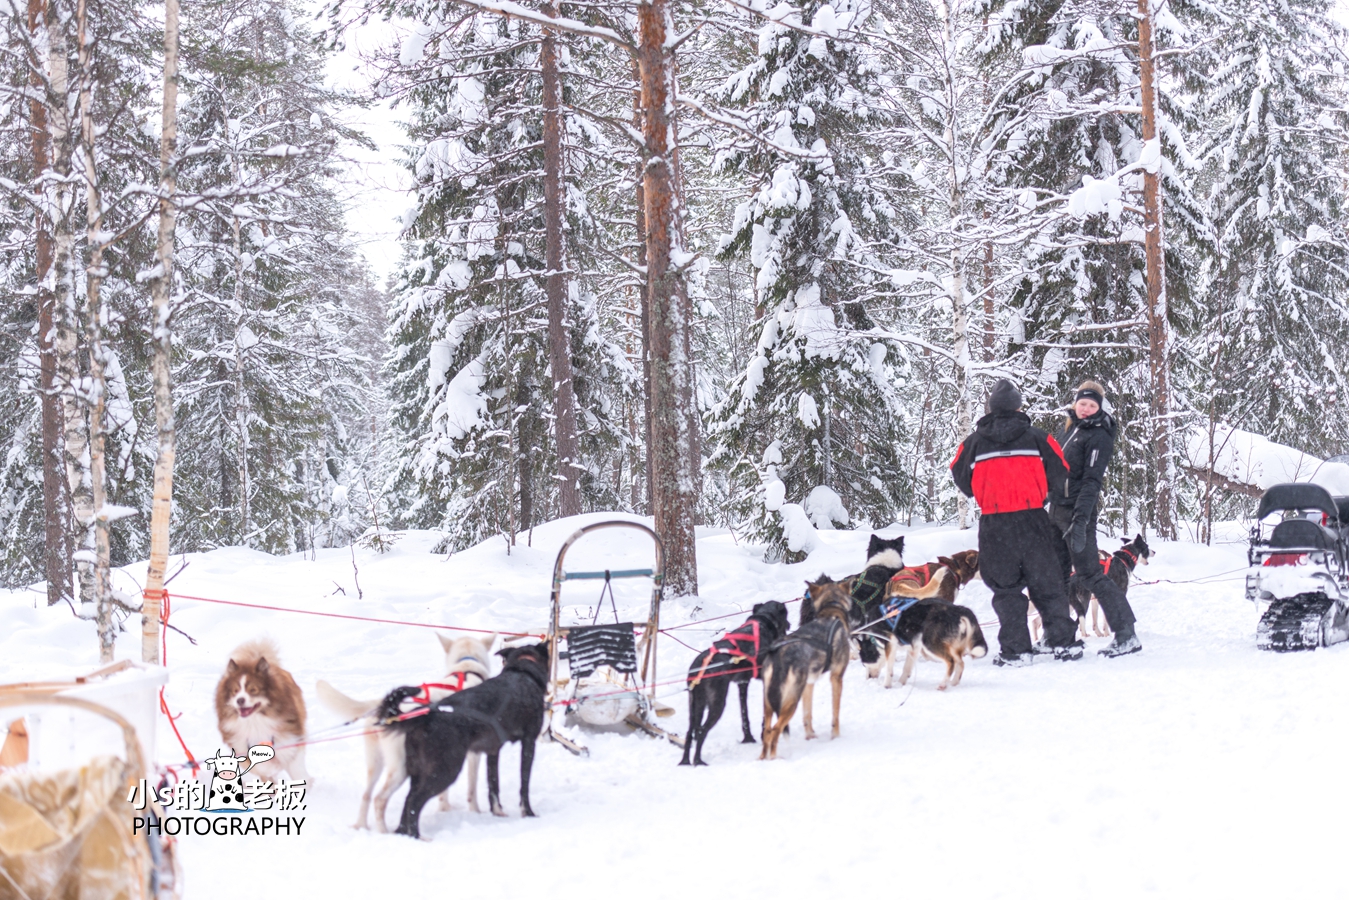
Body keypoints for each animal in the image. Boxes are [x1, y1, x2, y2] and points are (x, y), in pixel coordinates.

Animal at [215, 639, 308, 782]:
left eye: (253, 690)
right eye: (235, 691)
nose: (240, 700)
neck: (256, 722)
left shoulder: (290, 738)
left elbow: (295, 767)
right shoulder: (242, 746)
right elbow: (262, 767)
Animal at [315, 634, 496, 831]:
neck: (467, 669)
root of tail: (385, 710)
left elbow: (443, 793)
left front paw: (445, 809)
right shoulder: (472, 754)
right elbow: (472, 788)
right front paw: (475, 811)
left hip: (376, 763)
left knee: (366, 795)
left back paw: (361, 826)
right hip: (400, 768)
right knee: (379, 799)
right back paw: (384, 832)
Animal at [380, 639, 547, 836]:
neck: (521, 671)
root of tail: (427, 714)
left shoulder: (493, 750)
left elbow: (493, 783)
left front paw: (497, 812)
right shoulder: (529, 742)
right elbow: (524, 783)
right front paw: (528, 813)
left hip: (418, 771)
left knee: (408, 799)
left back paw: (403, 834)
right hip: (445, 770)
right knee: (414, 802)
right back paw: (416, 836)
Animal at [674, 601, 787, 766]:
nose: (789, 626)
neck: (761, 622)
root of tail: (701, 666)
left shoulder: (742, 683)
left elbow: (744, 715)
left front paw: (749, 738)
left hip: (696, 704)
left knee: (690, 732)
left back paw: (685, 761)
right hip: (717, 703)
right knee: (701, 731)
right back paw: (698, 761)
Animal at [766, 577, 857, 761]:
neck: (831, 610)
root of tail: (780, 655)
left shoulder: (809, 683)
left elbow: (807, 714)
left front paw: (810, 735)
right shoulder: (836, 677)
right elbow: (835, 713)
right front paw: (835, 735)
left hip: (771, 702)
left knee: (766, 731)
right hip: (790, 699)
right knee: (775, 730)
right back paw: (774, 759)